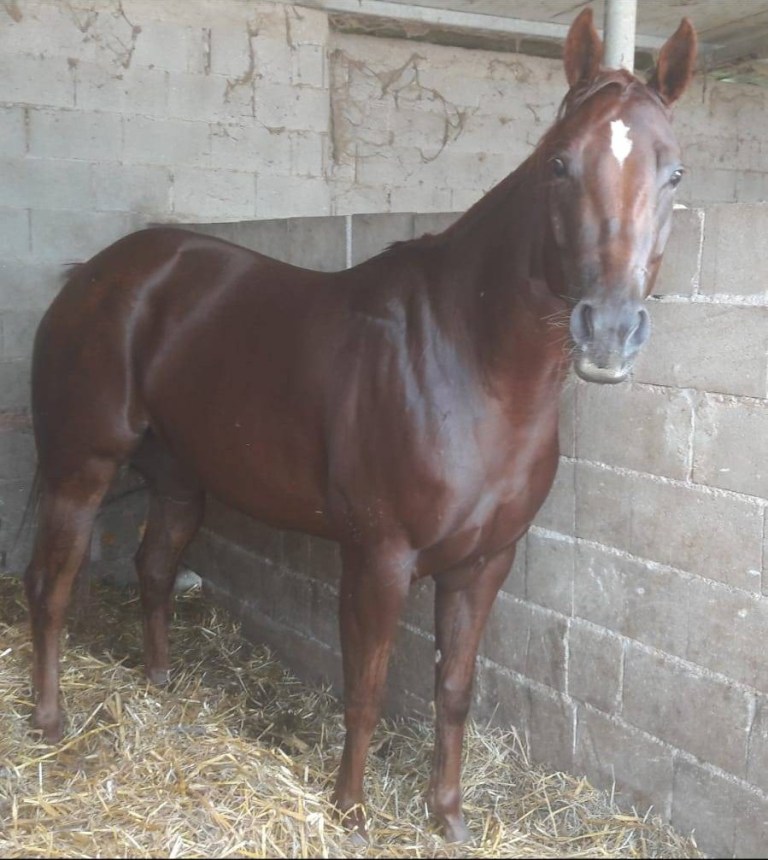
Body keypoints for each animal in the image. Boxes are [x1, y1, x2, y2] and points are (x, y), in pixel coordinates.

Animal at [22, 7, 696, 843]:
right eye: (560, 165)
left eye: (675, 174)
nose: (608, 331)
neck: (470, 364)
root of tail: (91, 275)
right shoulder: (378, 559)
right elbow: (367, 688)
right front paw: (350, 812)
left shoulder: (485, 563)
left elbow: (454, 691)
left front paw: (450, 816)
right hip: (80, 467)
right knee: (51, 586)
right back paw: (51, 720)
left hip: (180, 477)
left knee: (152, 570)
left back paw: (161, 680)